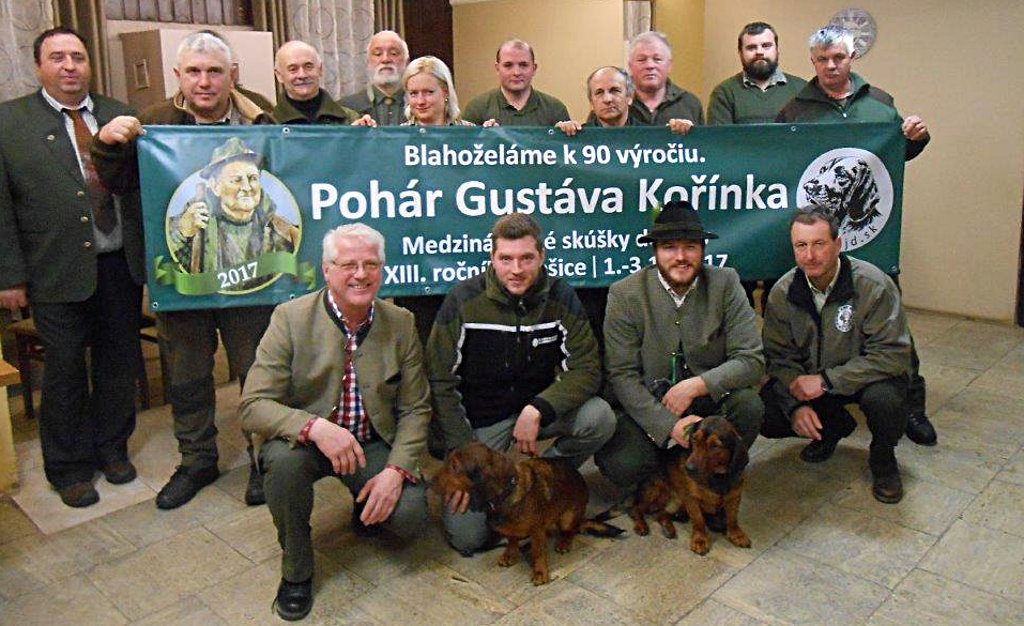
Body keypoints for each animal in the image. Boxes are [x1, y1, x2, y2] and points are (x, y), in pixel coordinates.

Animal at [434, 442, 622, 586]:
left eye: (454, 466)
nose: (431, 481)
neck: (508, 492)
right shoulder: (511, 529)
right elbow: (511, 540)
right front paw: (510, 554)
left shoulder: (536, 532)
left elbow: (538, 553)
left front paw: (540, 573)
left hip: (567, 518)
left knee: (571, 530)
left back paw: (564, 543)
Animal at [626, 415, 749, 553]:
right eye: (694, 439)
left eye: (715, 446)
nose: (688, 468)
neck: (716, 477)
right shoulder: (691, 499)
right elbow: (698, 520)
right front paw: (700, 540)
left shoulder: (734, 497)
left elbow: (732, 519)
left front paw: (737, 534)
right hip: (656, 490)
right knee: (634, 509)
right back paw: (641, 525)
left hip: (676, 505)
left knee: (660, 514)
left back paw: (668, 528)